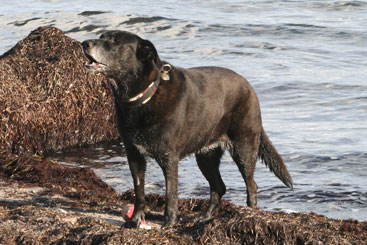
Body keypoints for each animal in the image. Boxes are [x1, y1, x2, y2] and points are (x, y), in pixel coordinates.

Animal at [82, 31, 294, 228]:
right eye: (101, 36)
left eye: (114, 41)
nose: (85, 43)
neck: (144, 96)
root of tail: (249, 87)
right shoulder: (134, 154)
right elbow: (139, 190)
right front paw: (135, 220)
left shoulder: (168, 158)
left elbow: (171, 194)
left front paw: (169, 223)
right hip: (206, 156)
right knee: (219, 187)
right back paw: (205, 217)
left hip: (243, 149)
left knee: (252, 186)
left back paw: (250, 213)